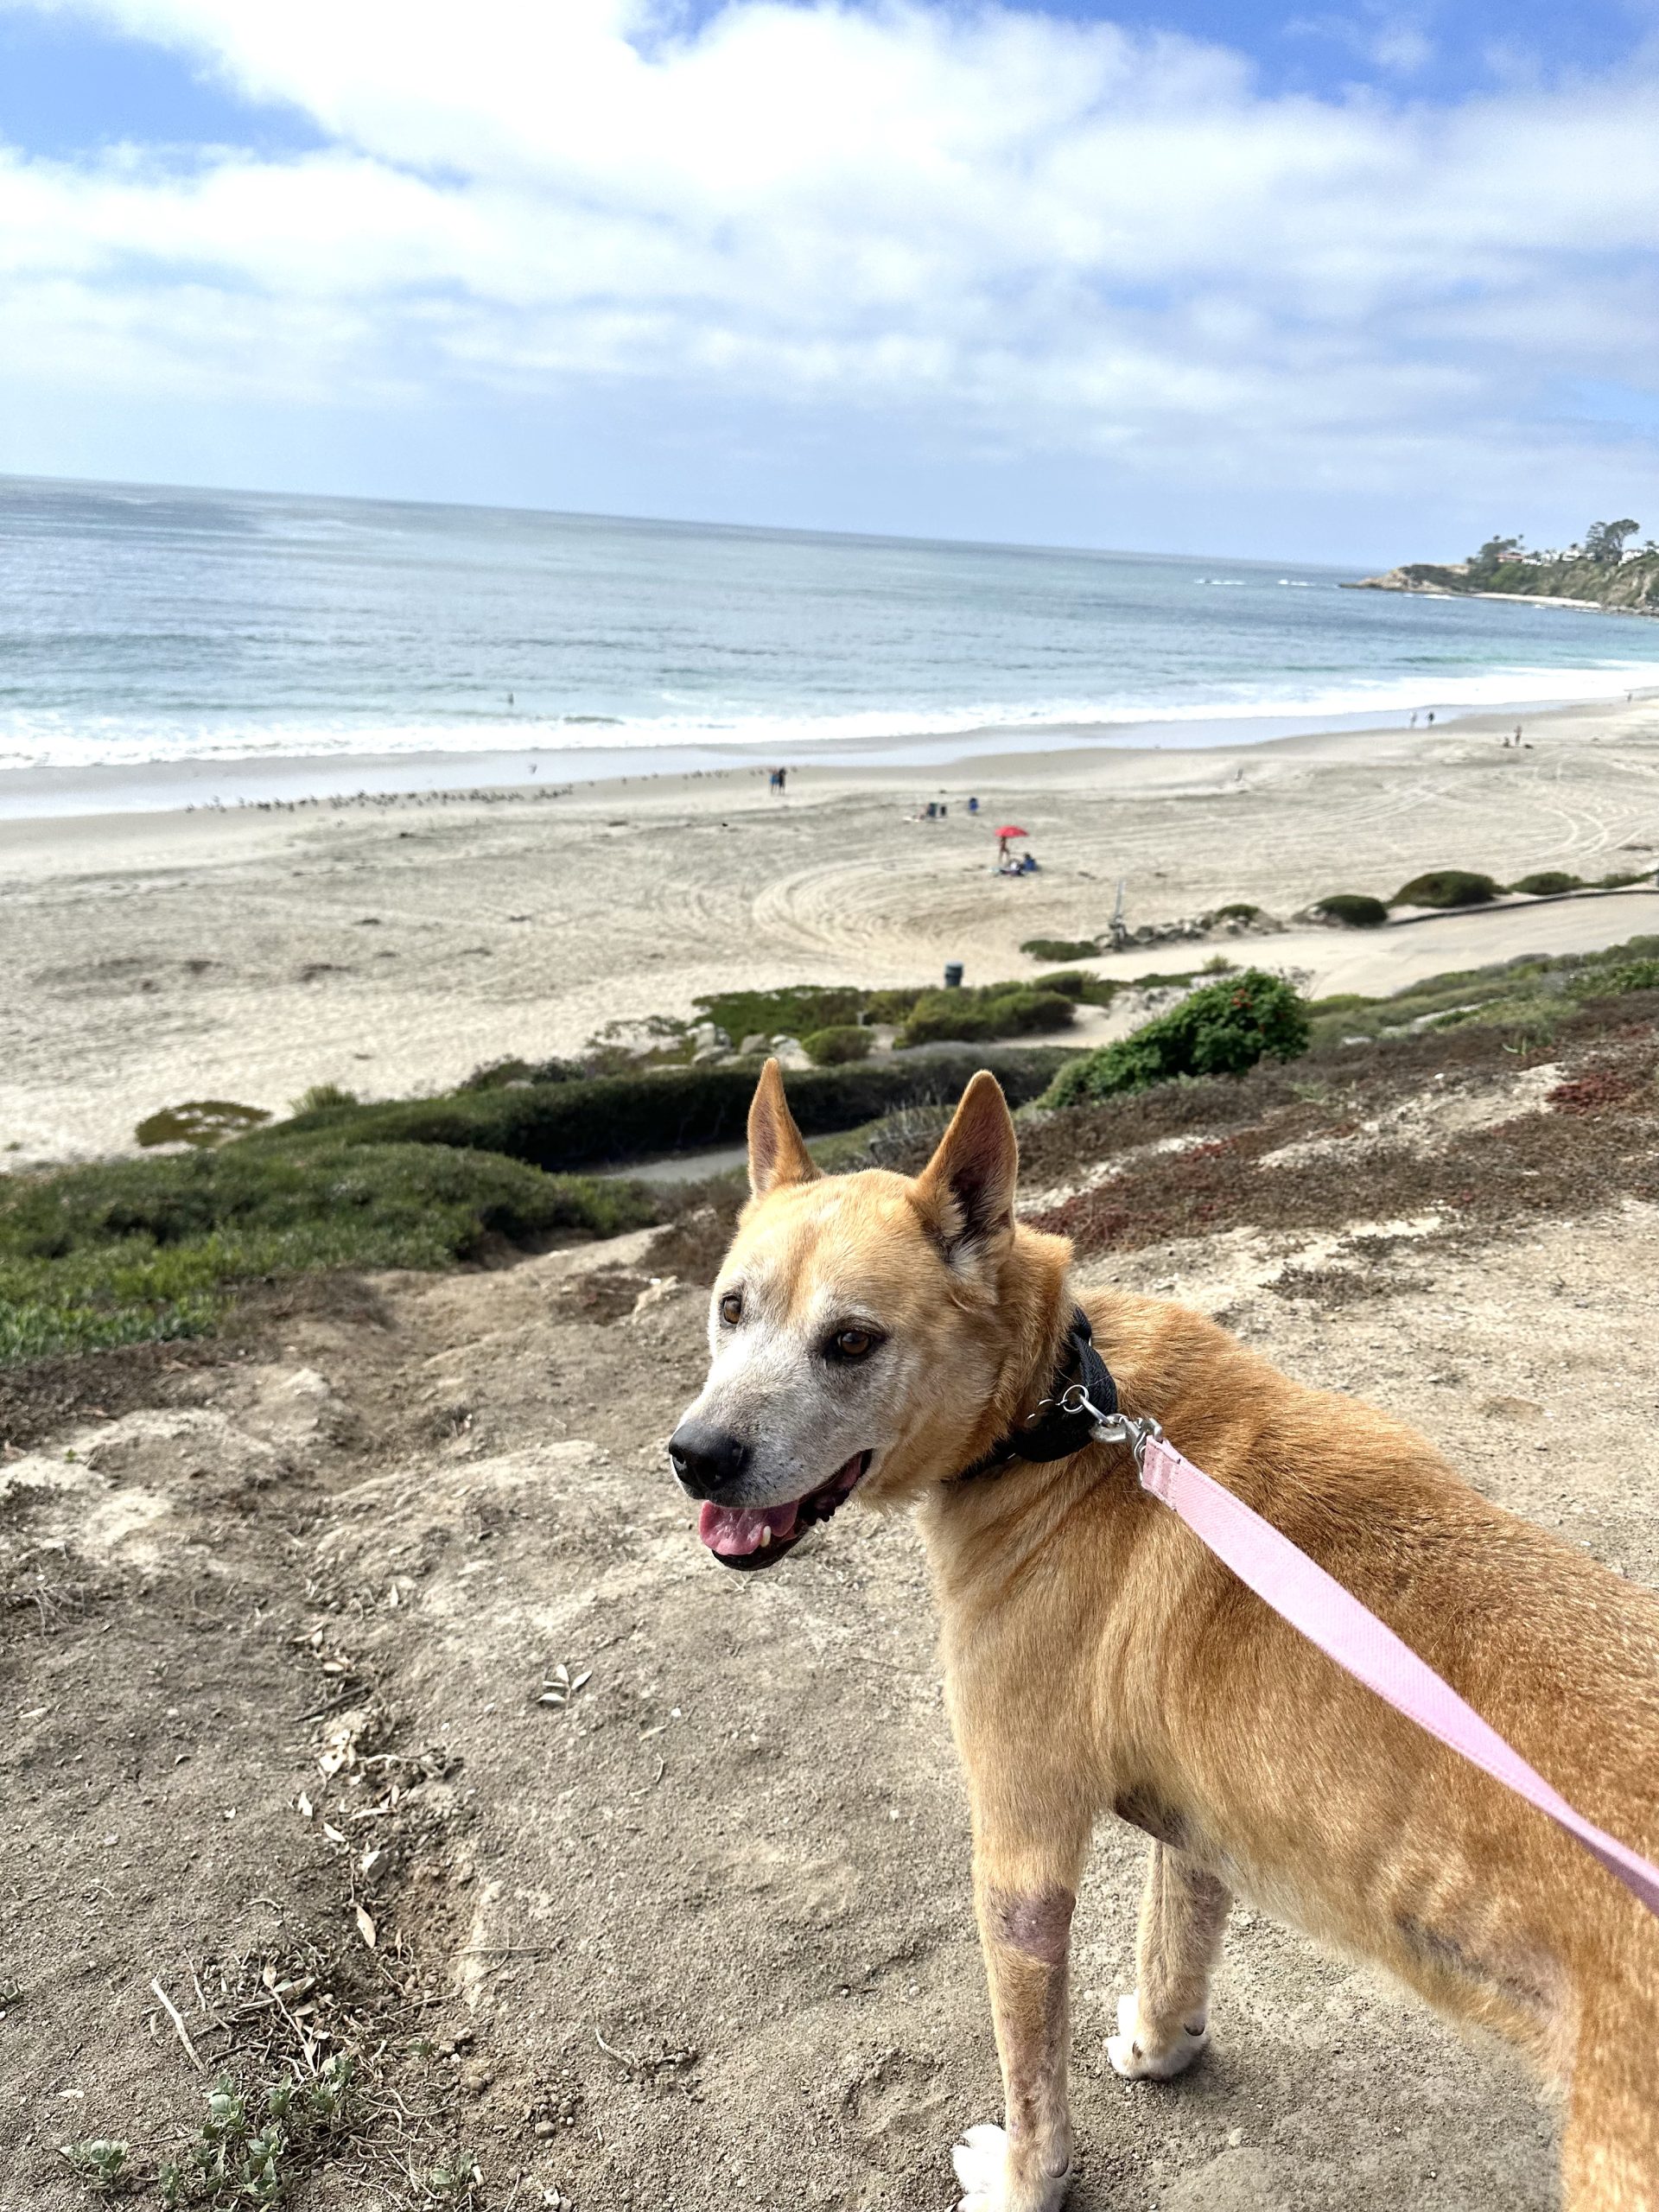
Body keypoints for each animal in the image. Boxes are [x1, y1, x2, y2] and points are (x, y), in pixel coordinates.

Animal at [668, 1061, 1659, 2202]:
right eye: (730, 1308)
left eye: (852, 1341)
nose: (695, 1455)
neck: (1052, 1418)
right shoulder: (1201, 1821)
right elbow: (1171, 1942)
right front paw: (1160, 2044)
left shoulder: (1020, 1860)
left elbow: (1032, 2077)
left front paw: (1023, 2178)